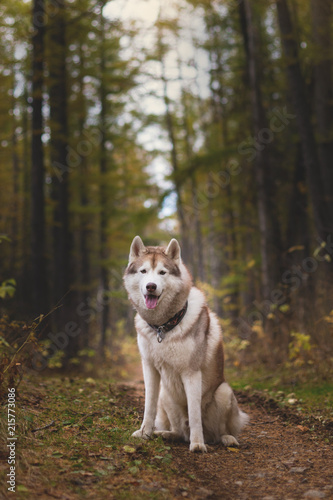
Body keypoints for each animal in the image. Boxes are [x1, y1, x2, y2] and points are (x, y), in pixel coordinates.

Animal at [123, 235, 248, 454]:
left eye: (162, 272)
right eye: (143, 271)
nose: (151, 286)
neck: (163, 327)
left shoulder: (191, 373)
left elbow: (195, 412)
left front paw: (197, 444)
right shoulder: (149, 368)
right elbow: (149, 406)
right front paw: (145, 433)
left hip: (224, 392)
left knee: (218, 432)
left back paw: (226, 438)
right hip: (166, 395)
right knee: (180, 431)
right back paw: (166, 434)